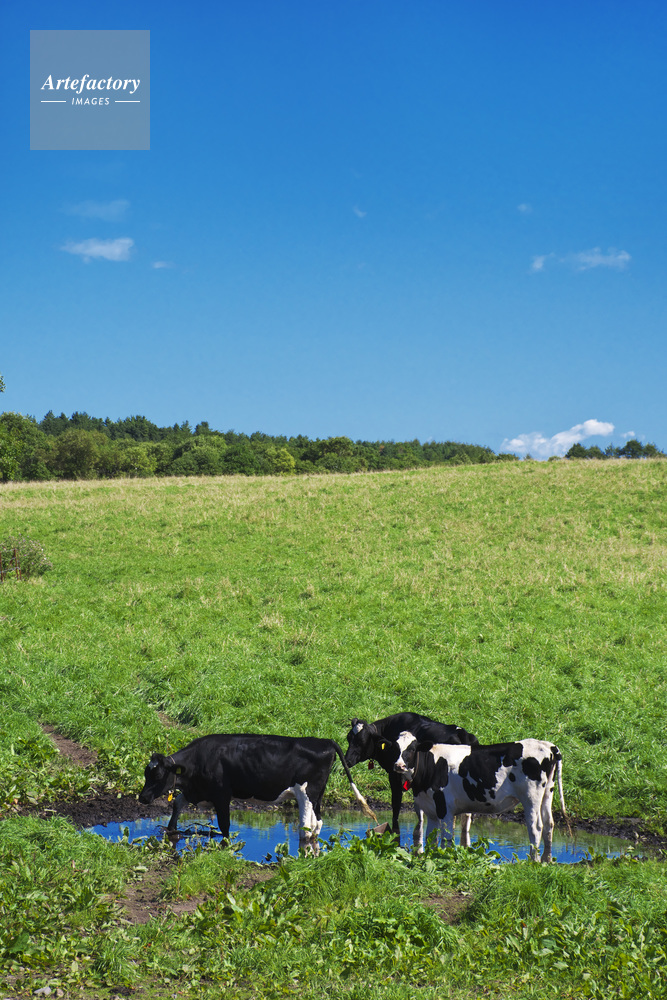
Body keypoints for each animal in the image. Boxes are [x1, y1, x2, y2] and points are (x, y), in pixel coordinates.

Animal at [138, 733, 377, 847]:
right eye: (146, 773)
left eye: (157, 775)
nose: (142, 798)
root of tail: (325, 741)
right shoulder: (196, 790)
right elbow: (178, 803)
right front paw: (171, 830)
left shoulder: (221, 794)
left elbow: (224, 824)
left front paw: (226, 845)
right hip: (317, 795)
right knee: (317, 824)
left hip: (306, 793)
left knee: (306, 827)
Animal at [344, 713, 478, 844]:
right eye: (349, 738)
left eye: (362, 741)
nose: (347, 760)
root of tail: (462, 733)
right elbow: (419, 810)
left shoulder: (395, 776)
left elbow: (397, 806)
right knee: (466, 818)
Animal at [379, 732, 567, 862]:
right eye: (395, 749)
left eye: (412, 749)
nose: (399, 765)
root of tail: (547, 745)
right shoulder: (431, 809)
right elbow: (430, 837)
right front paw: (430, 856)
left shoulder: (444, 808)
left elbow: (446, 838)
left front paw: (445, 857)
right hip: (547, 794)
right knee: (549, 824)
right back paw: (546, 860)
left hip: (530, 798)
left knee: (535, 827)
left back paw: (532, 860)